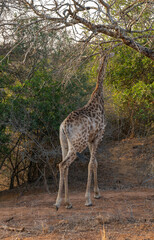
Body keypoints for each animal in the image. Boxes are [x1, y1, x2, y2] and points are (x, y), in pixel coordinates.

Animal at [54, 53, 109, 210]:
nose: (114, 54)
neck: (98, 97)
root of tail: (65, 126)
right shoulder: (98, 136)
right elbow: (91, 163)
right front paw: (88, 199)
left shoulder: (91, 139)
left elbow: (95, 162)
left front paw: (97, 193)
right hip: (78, 143)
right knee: (63, 164)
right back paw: (61, 202)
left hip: (64, 142)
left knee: (63, 165)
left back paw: (65, 202)